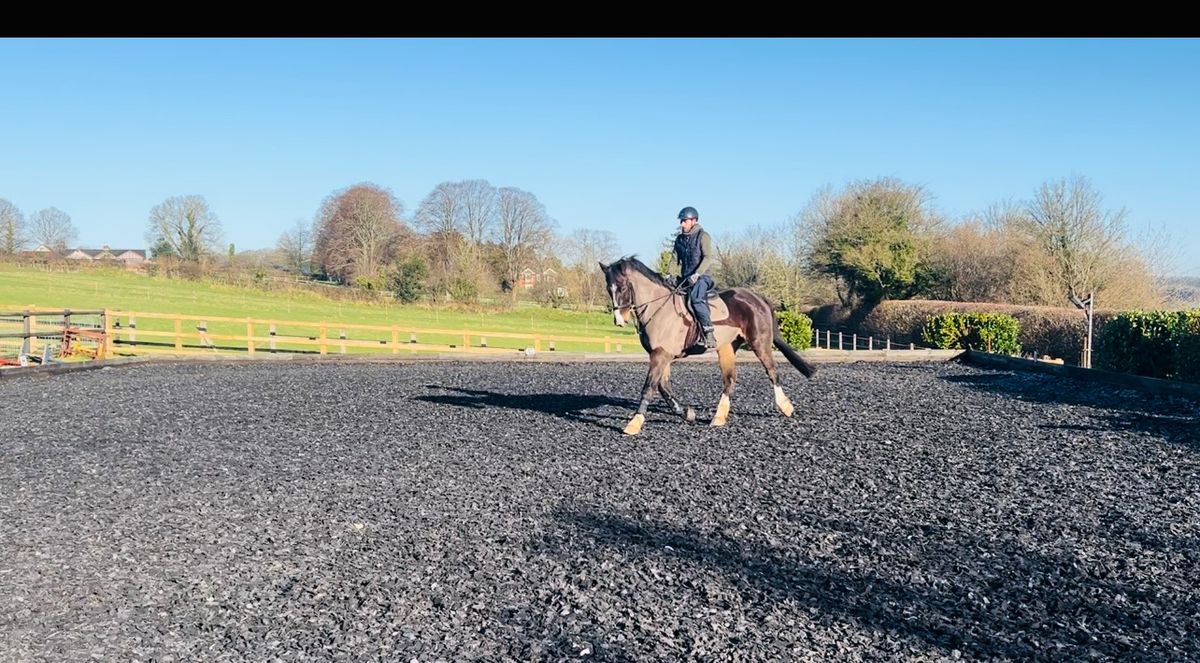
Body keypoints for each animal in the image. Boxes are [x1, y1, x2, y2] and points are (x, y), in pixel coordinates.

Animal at [600, 258, 816, 434]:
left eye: (622, 288)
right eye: (608, 289)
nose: (619, 321)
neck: (659, 309)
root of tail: (756, 297)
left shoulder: (661, 355)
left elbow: (649, 387)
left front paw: (634, 423)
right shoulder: (662, 355)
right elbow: (663, 386)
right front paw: (686, 413)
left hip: (759, 343)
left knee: (772, 372)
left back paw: (786, 407)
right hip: (727, 347)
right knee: (730, 379)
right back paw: (719, 417)